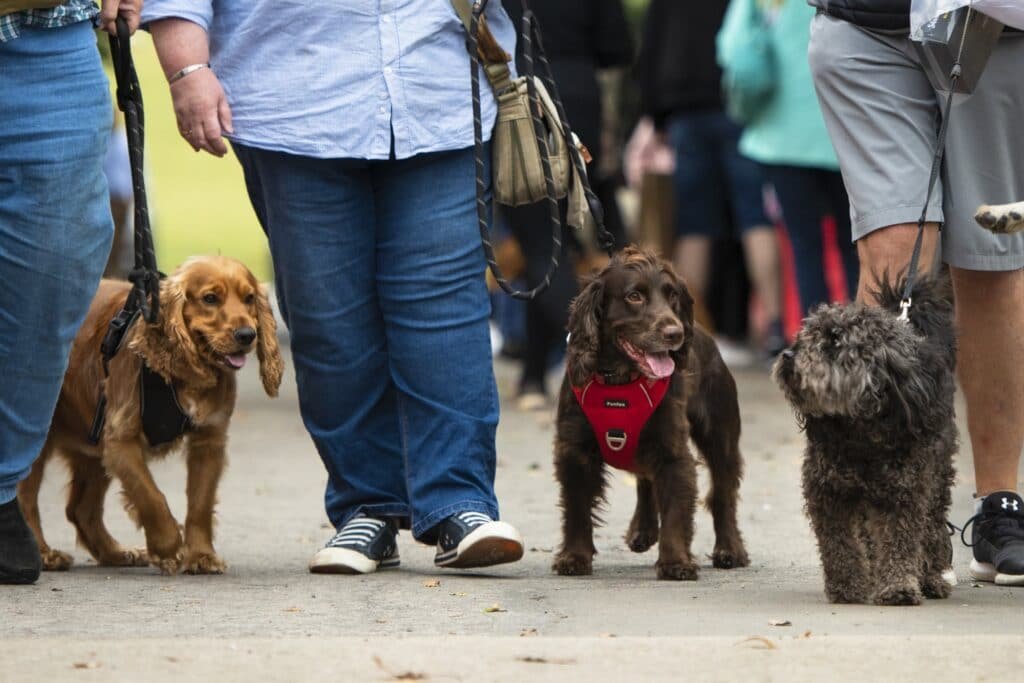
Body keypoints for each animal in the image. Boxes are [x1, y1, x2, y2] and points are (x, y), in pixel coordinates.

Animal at [774, 274, 958, 606]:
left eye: (835, 342)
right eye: (806, 335)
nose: (788, 355)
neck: (858, 433)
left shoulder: (905, 492)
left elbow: (900, 540)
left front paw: (898, 587)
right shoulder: (828, 492)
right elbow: (840, 545)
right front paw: (847, 587)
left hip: (936, 479)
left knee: (932, 529)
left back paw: (931, 578)